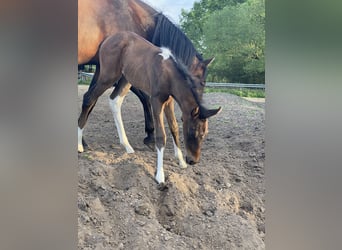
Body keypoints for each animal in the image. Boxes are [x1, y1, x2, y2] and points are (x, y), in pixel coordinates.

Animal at [78, 31, 220, 184]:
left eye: (205, 134)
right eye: (193, 131)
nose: (193, 161)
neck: (168, 73)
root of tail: (106, 40)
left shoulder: (169, 101)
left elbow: (174, 128)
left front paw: (181, 161)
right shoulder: (156, 100)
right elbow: (161, 135)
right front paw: (160, 175)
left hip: (126, 78)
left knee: (114, 101)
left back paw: (127, 146)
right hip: (108, 76)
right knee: (89, 98)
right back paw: (80, 145)